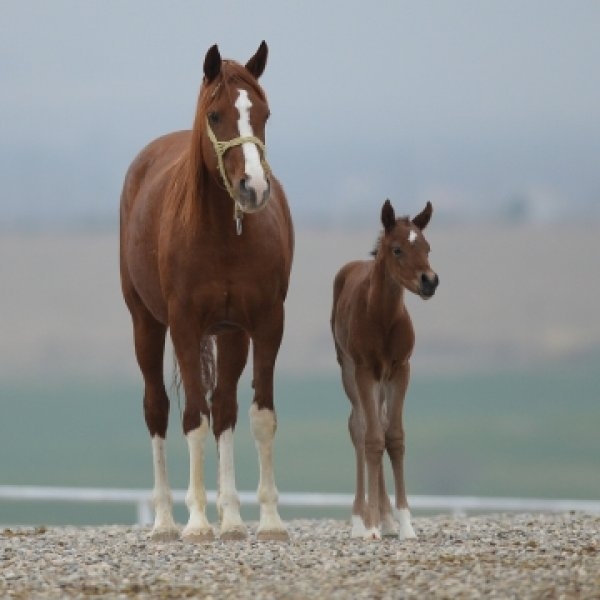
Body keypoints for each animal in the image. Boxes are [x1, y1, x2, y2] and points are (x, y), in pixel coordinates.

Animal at [119, 39, 292, 540]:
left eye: (265, 113)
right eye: (215, 115)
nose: (254, 189)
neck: (224, 232)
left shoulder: (266, 323)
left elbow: (259, 417)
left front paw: (269, 521)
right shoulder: (185, 325)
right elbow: (193, 417)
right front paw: (196, 523)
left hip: (231, 334)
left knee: (226, 409)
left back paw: (231, 518)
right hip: (146, 323)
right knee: (157, 408)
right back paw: (163, 521)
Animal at [330, 200, 438, 540]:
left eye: (427, 247)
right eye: (397, 249)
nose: (430, 281)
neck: (383, 317)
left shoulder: (400, 369)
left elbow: (395, 437)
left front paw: (404, 524)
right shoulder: (365, 370)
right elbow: (373, 439)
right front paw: (370, 526)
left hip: (380, 379)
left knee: (376, 421)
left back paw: (386, 519)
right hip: (349, 370)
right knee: (360, 428)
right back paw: (360, 519)